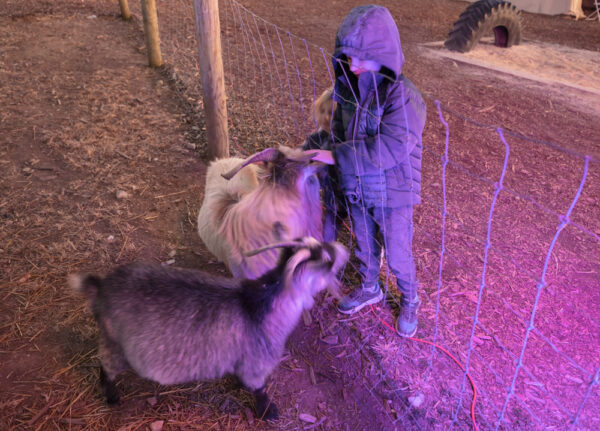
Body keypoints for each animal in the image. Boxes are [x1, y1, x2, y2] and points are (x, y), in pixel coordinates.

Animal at [70, 238, 350, 420]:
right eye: (328, 259)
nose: (343, 248)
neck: (264, 302)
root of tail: (101, 287)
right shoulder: (258, 358)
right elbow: (258, 386)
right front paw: (268, 411)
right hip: (115, 340)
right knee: (106, 365)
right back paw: (111, 395)